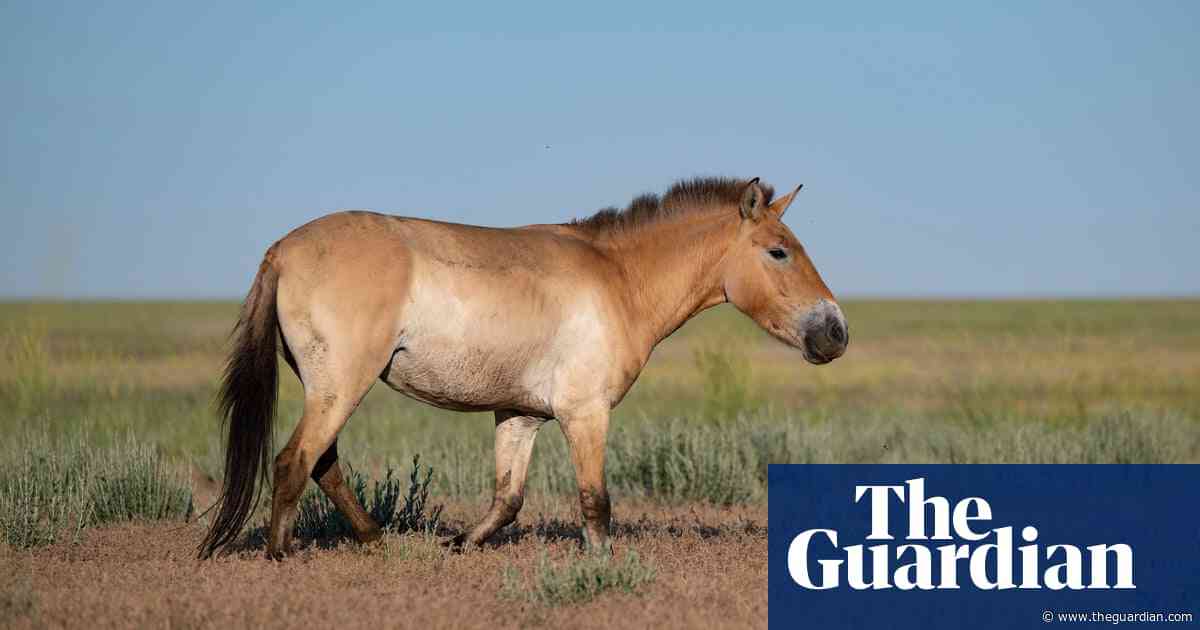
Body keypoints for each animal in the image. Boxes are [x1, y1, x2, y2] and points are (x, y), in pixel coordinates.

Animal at [196, 174, 849, 556]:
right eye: (779, 252)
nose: (835, 333)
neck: (618, 280)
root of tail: (282, 250)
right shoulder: (585, 414)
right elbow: (595, 502)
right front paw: (603, 568)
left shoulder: (520, 415)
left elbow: (507, 500)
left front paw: (459, 545)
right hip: (341, 386)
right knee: (295, 461)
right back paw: (283, 554)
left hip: (331, 388)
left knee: (323, 464)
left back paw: (378, 539)